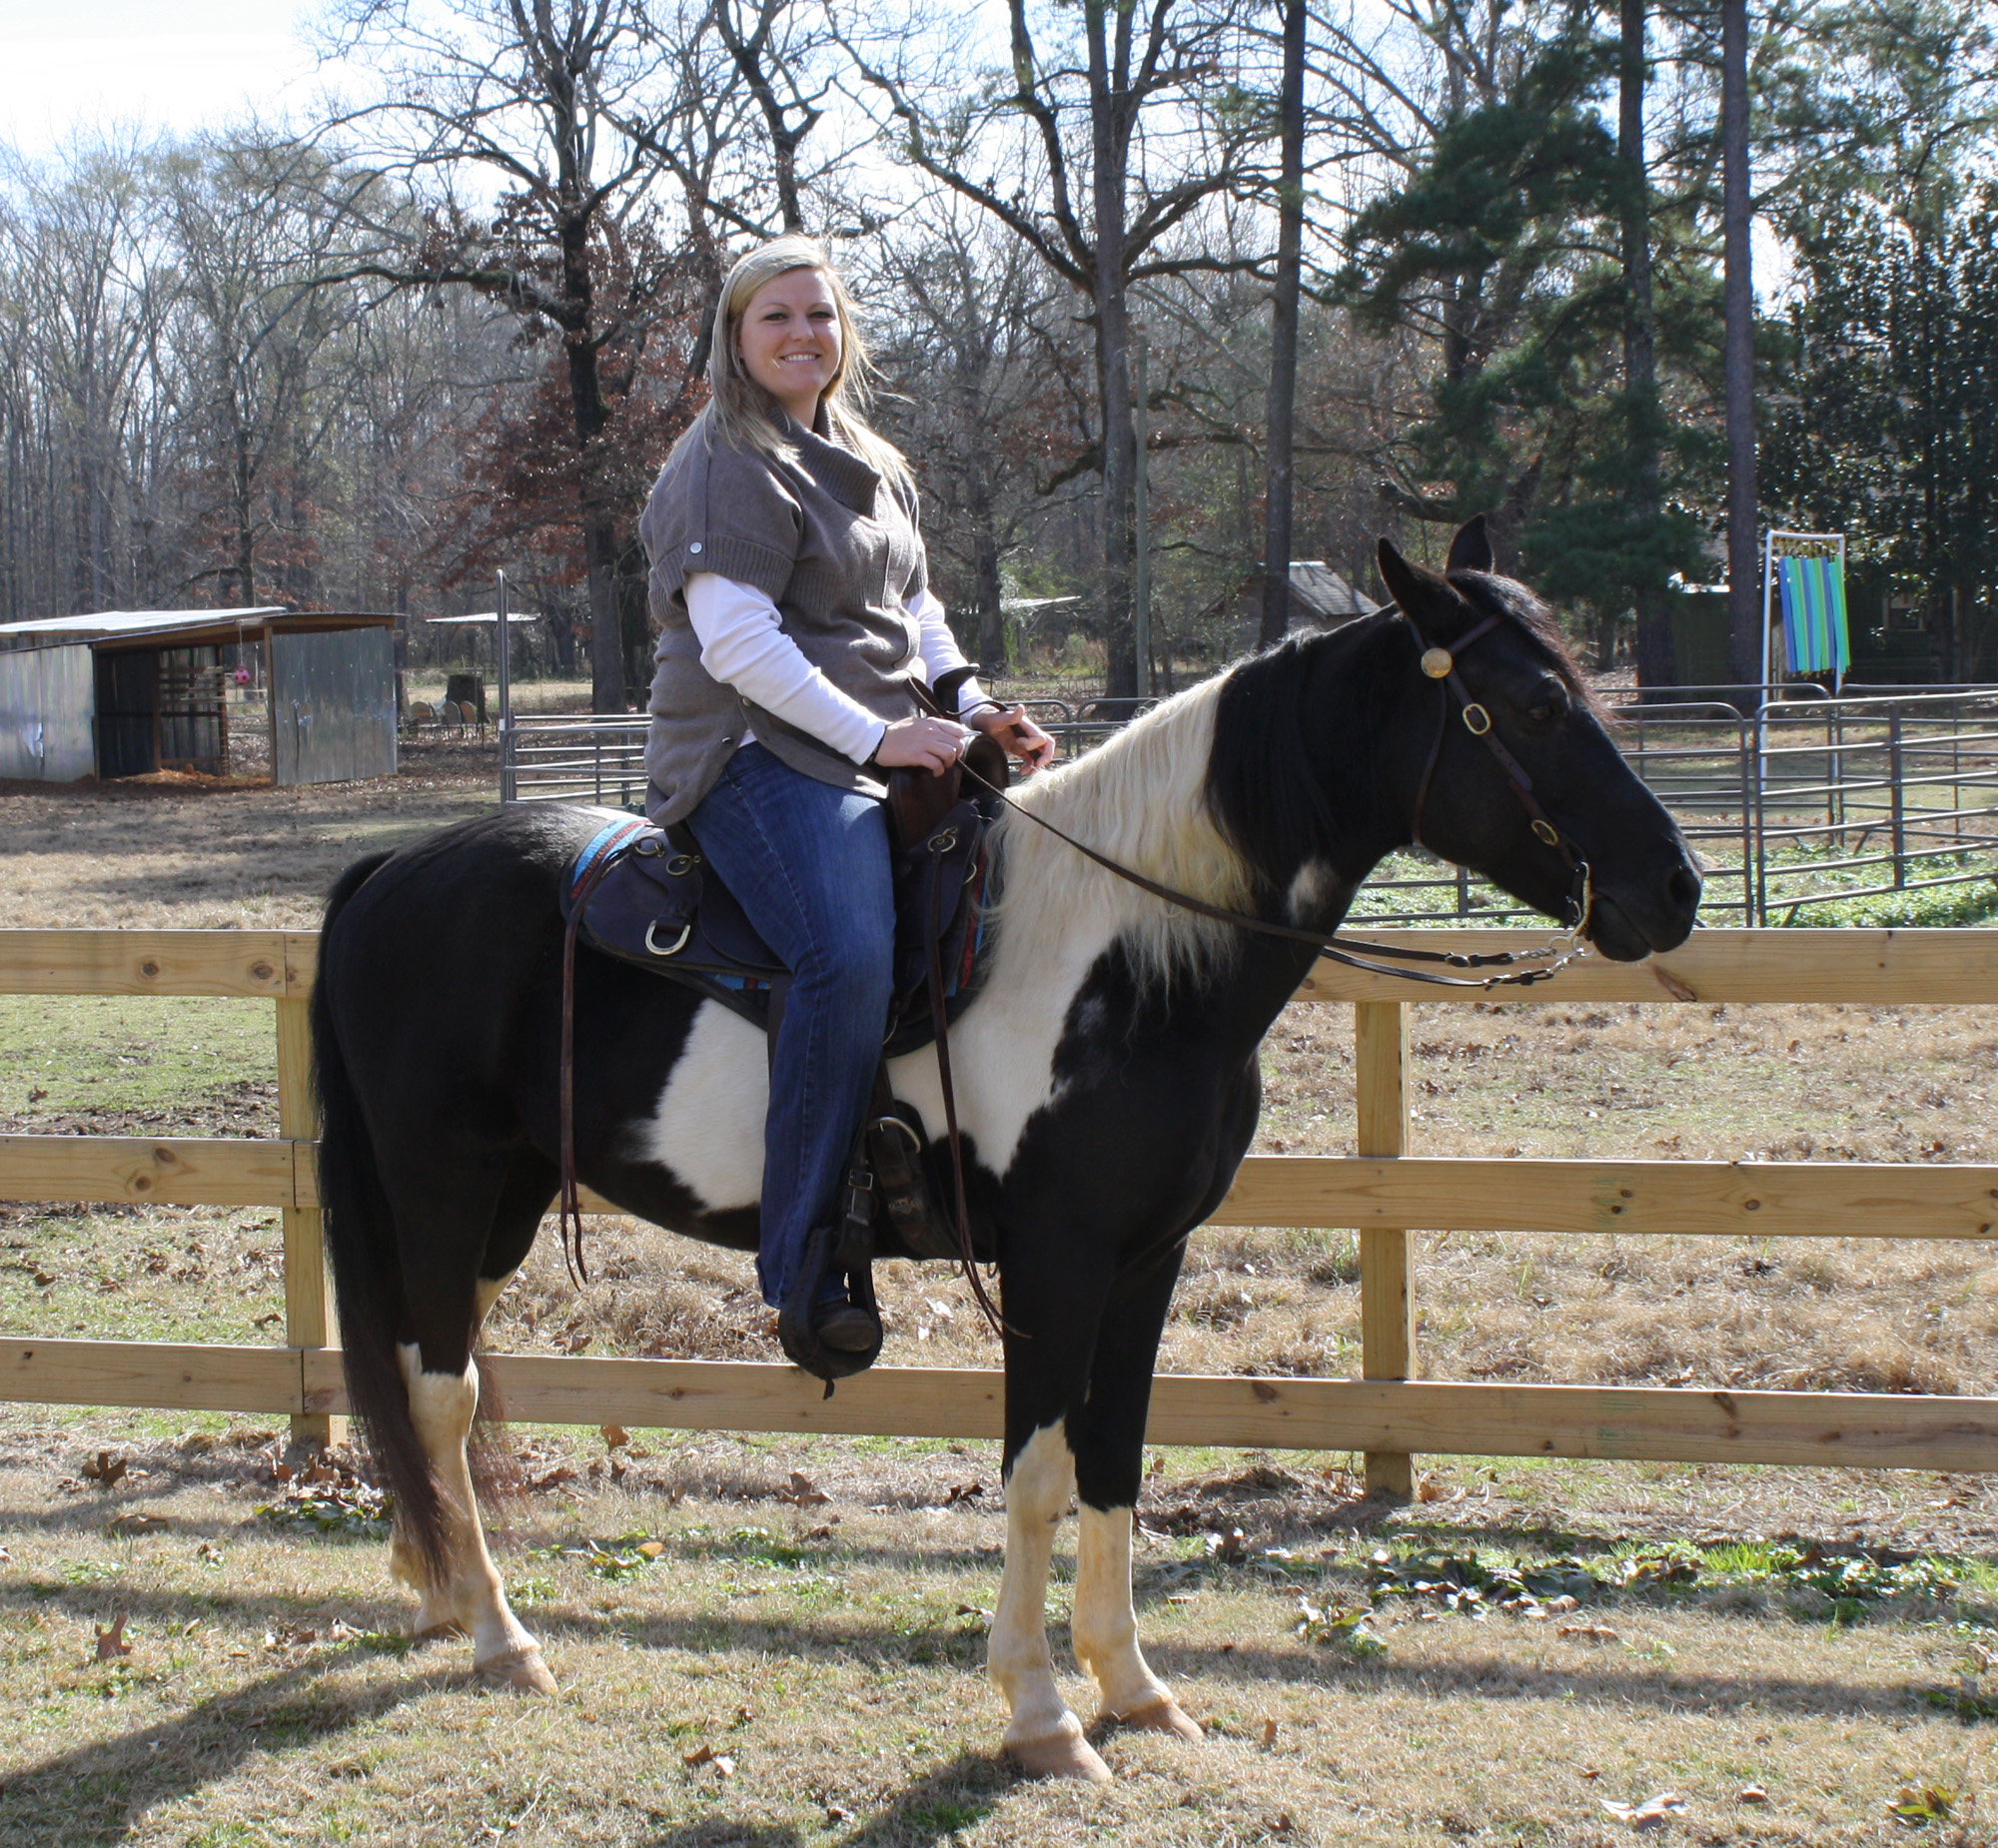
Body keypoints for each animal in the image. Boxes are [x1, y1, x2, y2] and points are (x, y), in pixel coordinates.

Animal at [309, 520, 1701, 1782]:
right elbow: (1034, 1473)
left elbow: (1114, 1462)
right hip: (441, 1189)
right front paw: (1040, 1712)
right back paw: (497, 1631)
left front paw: (1133, 1687)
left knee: (424, 1370)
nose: (1676, 886)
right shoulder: (1054, 1263)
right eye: (1531, 702)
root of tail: (385, 872)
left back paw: (435, 1578)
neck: (1125, 955)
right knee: (440, 1387)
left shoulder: (1146, 1260)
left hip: (499, 1207)